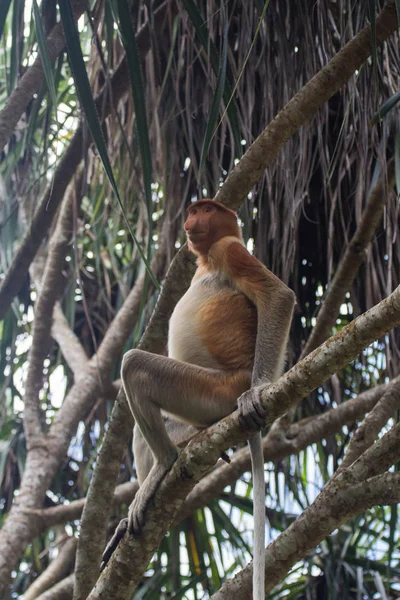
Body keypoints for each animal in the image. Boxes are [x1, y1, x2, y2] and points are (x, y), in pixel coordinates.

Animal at [104, 199, 296, 596]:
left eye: (206, 210)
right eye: (194, 210)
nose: (191, 220)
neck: (206, 260)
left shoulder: (230, 250)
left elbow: (278, 296)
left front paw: (257, 391)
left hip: (214, 390)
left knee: (135, 367)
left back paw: (165, 465)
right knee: (146, 427)